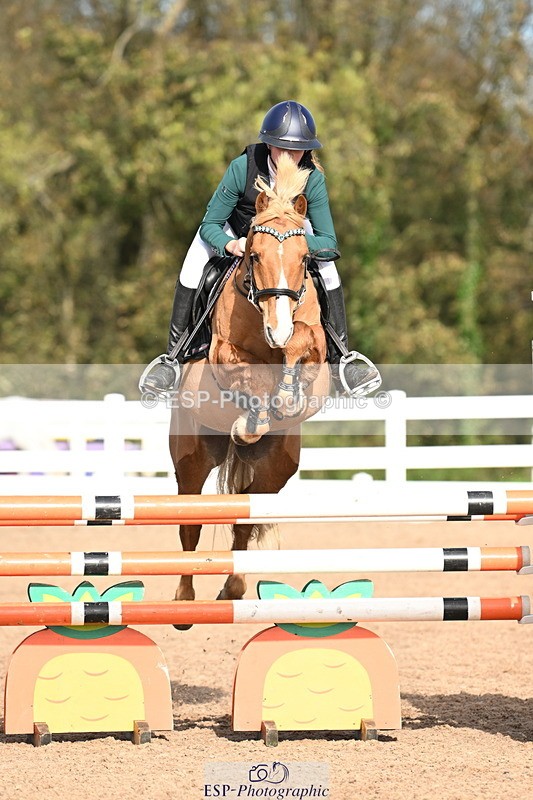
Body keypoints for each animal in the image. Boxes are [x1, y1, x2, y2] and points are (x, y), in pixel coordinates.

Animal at [169, 153, 330, 621]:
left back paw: (234, 588)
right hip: (192, 455)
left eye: (304, 259)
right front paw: (252, 417)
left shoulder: (315, 354)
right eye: (254, 256)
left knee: (245, 511)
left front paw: (285, 395)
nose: (277, 328)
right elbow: (245, 375)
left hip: (277, 469)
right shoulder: (221, 355)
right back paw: (184, 601)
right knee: (190, 524)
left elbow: (302, 348)